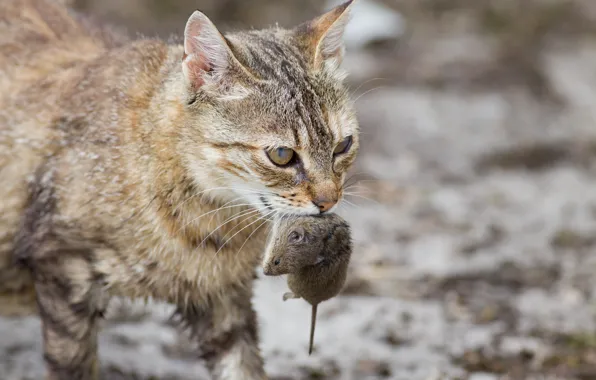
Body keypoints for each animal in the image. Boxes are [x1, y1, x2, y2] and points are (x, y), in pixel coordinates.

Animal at [0, 0, 358, 378]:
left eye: (343, 145)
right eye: (282, 155)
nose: (328, 200)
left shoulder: (223, 296)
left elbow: (242, 365)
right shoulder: (64, 268)